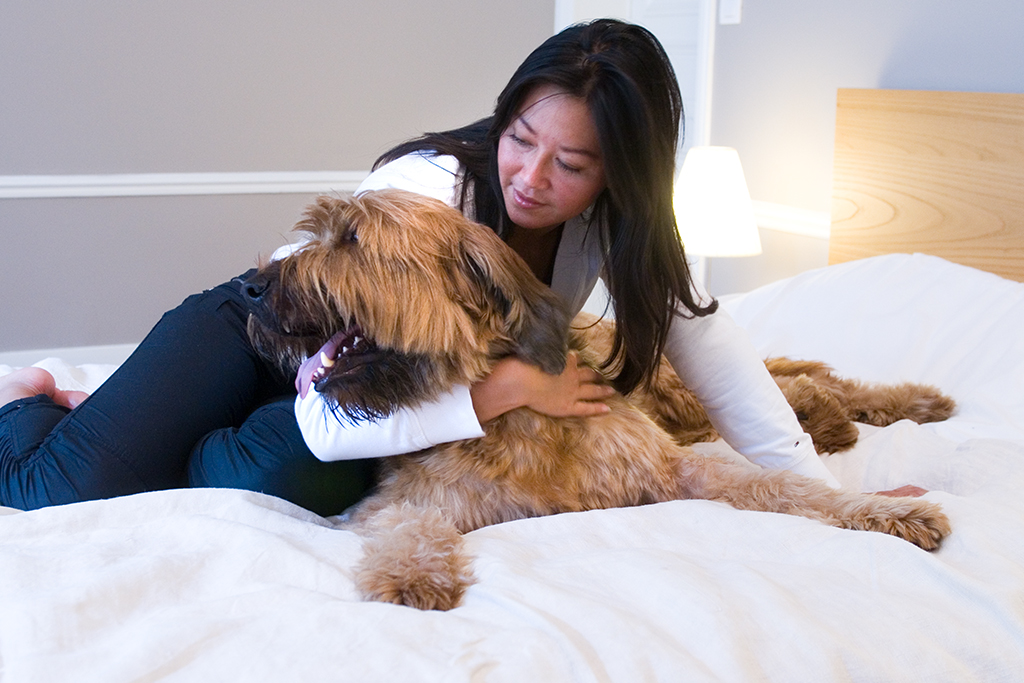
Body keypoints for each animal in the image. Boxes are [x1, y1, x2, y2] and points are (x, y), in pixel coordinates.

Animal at [245, 189, 950, 610]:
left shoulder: (673, 468)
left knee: (793, 381)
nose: (252, 287)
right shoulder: (403, 501)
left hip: (677, 390)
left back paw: (890, 405)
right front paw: (412, 575)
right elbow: (407, 524)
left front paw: (885, 509)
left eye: (351, 239)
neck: (514, 421)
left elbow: (785, 485)